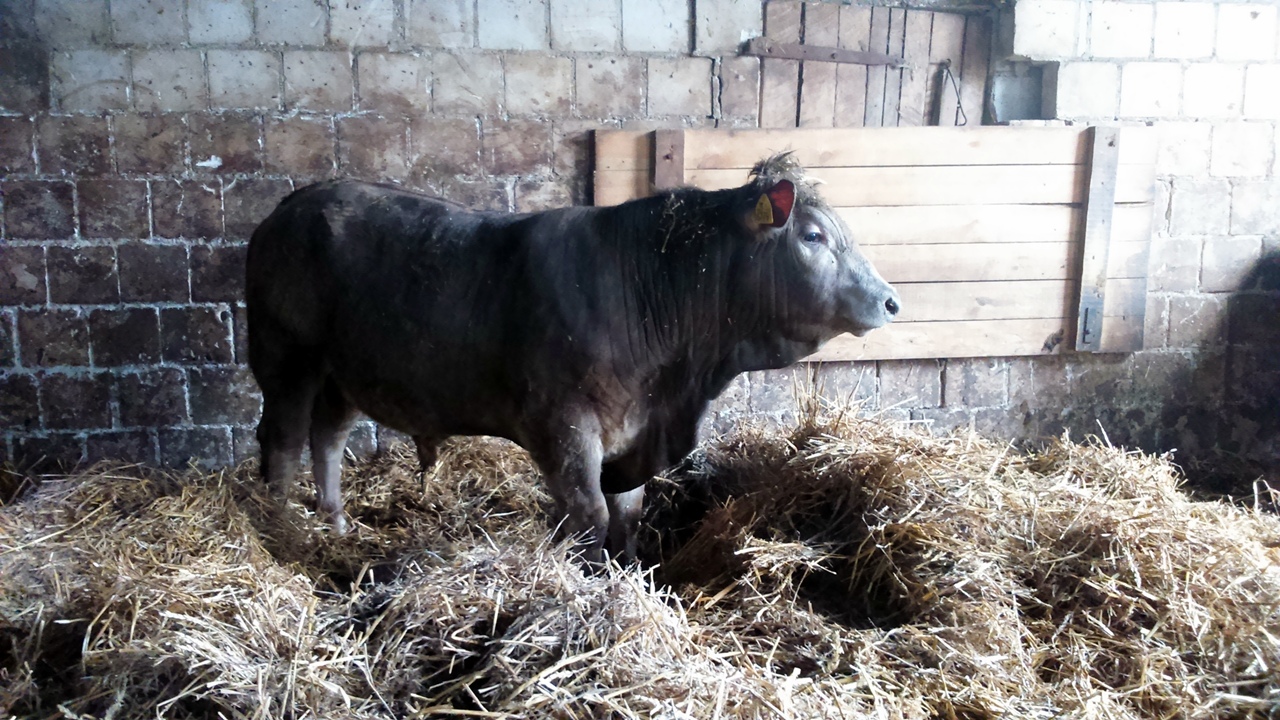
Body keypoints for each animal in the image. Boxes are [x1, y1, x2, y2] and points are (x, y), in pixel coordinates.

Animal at [244, 153, 900, 563]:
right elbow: (589, 517)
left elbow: (628, 516)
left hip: (343, 371)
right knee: (282, 443)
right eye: (813, 236)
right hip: (285, 357)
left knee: (328, 437)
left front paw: (627, 578)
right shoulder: (562, 424)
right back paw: (284, 535)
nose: (892, 300)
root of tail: (296, 201)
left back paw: (336, 523)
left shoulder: (631, 434)